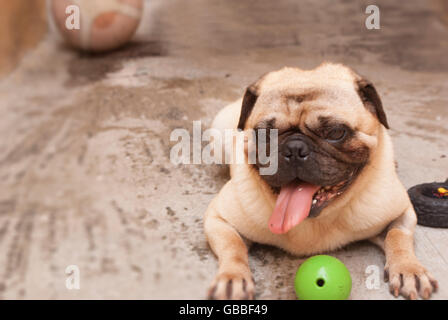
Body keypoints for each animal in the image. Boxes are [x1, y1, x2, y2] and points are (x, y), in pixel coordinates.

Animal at [205, 63, 440, 300]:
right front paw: (233, 278)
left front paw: (408, 269)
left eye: (336, 132)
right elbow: (233, 247)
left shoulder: (402, 213)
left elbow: (397, 236)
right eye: (265, 134)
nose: (294, 148)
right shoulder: (218, 219)